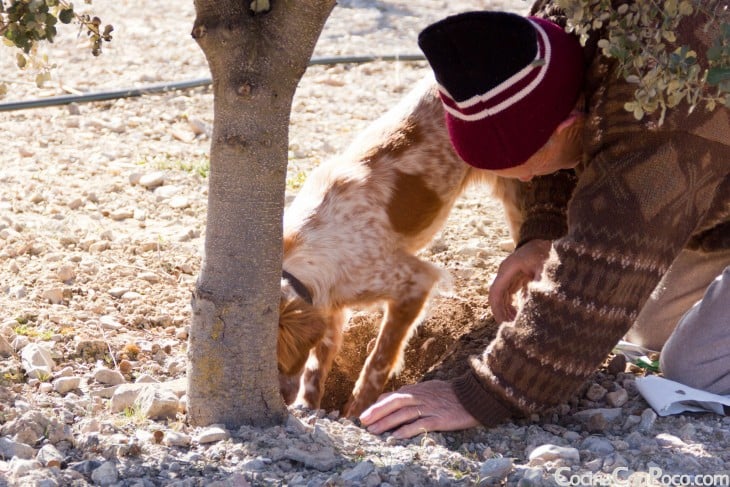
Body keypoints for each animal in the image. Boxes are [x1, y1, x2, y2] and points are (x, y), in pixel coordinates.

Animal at [276, 77, 520, 420]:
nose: (281, 401)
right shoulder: (330, 306)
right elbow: (316, 364)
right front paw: (309, 405)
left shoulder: (413, 280)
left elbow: (379, 358)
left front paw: (358, 411)